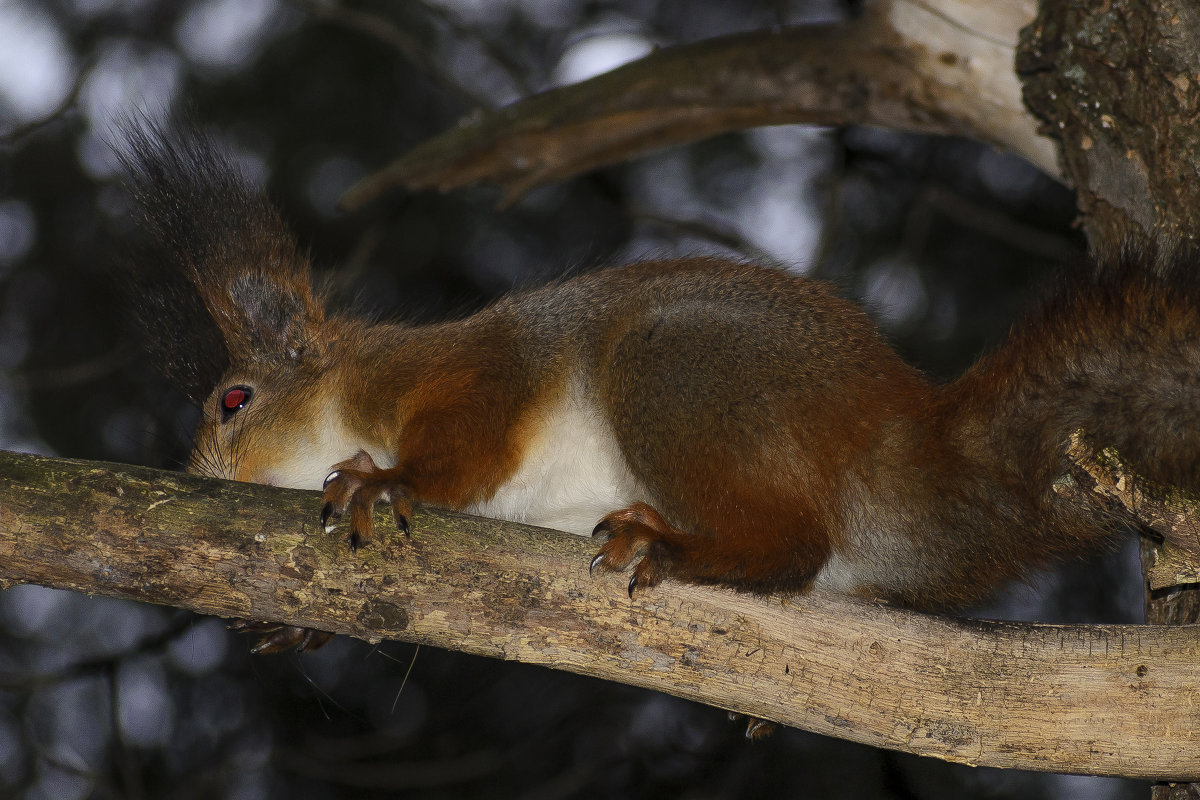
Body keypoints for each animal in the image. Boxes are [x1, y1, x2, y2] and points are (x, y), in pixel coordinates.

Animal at [121, 125, 1200, 628]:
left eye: (232, 399)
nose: (197, 473)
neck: (353, 382)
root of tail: (903, 441)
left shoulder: (467, 370)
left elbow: (469, 441)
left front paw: (386, 482)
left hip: (679, 374)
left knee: (792, 546)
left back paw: (678, 546)